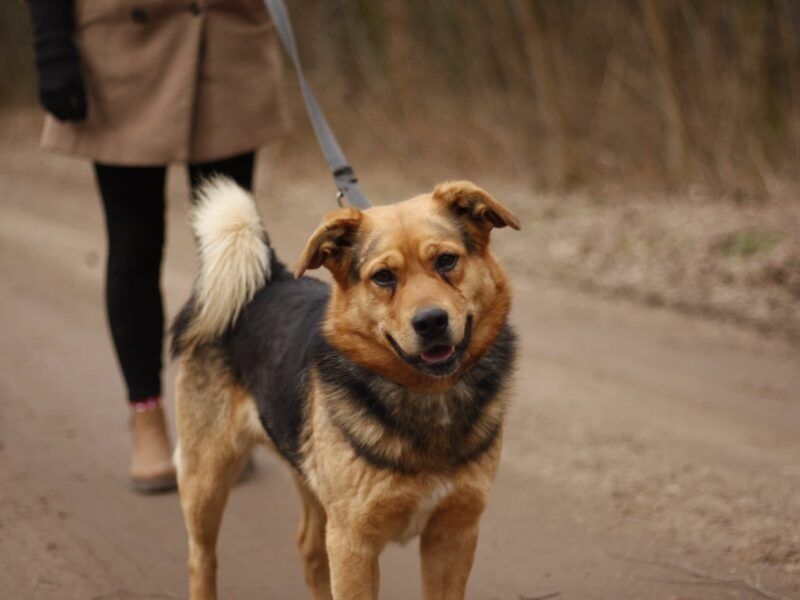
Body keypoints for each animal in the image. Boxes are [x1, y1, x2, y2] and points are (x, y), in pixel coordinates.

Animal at [172, 179, 520, 600]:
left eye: (446, 261)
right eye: (383, 276)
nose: (431, 322)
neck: (428, 395)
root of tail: (266, 280)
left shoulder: (454, 533)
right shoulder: (353, 543)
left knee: (308, 547)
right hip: (205, 480)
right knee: (200, 558)